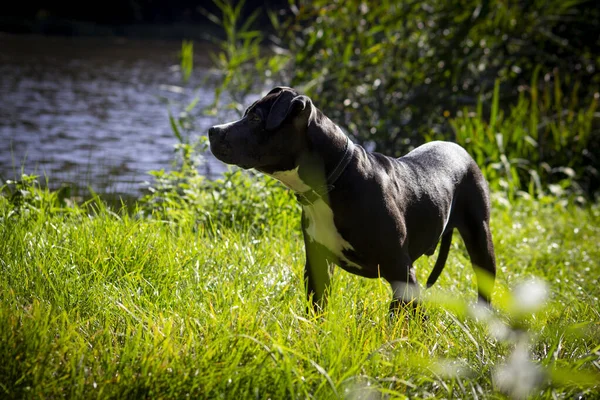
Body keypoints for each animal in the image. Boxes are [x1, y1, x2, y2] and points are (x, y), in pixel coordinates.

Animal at [207, 87, 496, 316]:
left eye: (256, 118)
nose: (212, 130)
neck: (331, 183)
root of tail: (459, 148)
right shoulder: (317, 265)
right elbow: (317, 309)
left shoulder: (401, 271)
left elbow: (406, 320)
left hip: (480, 238)